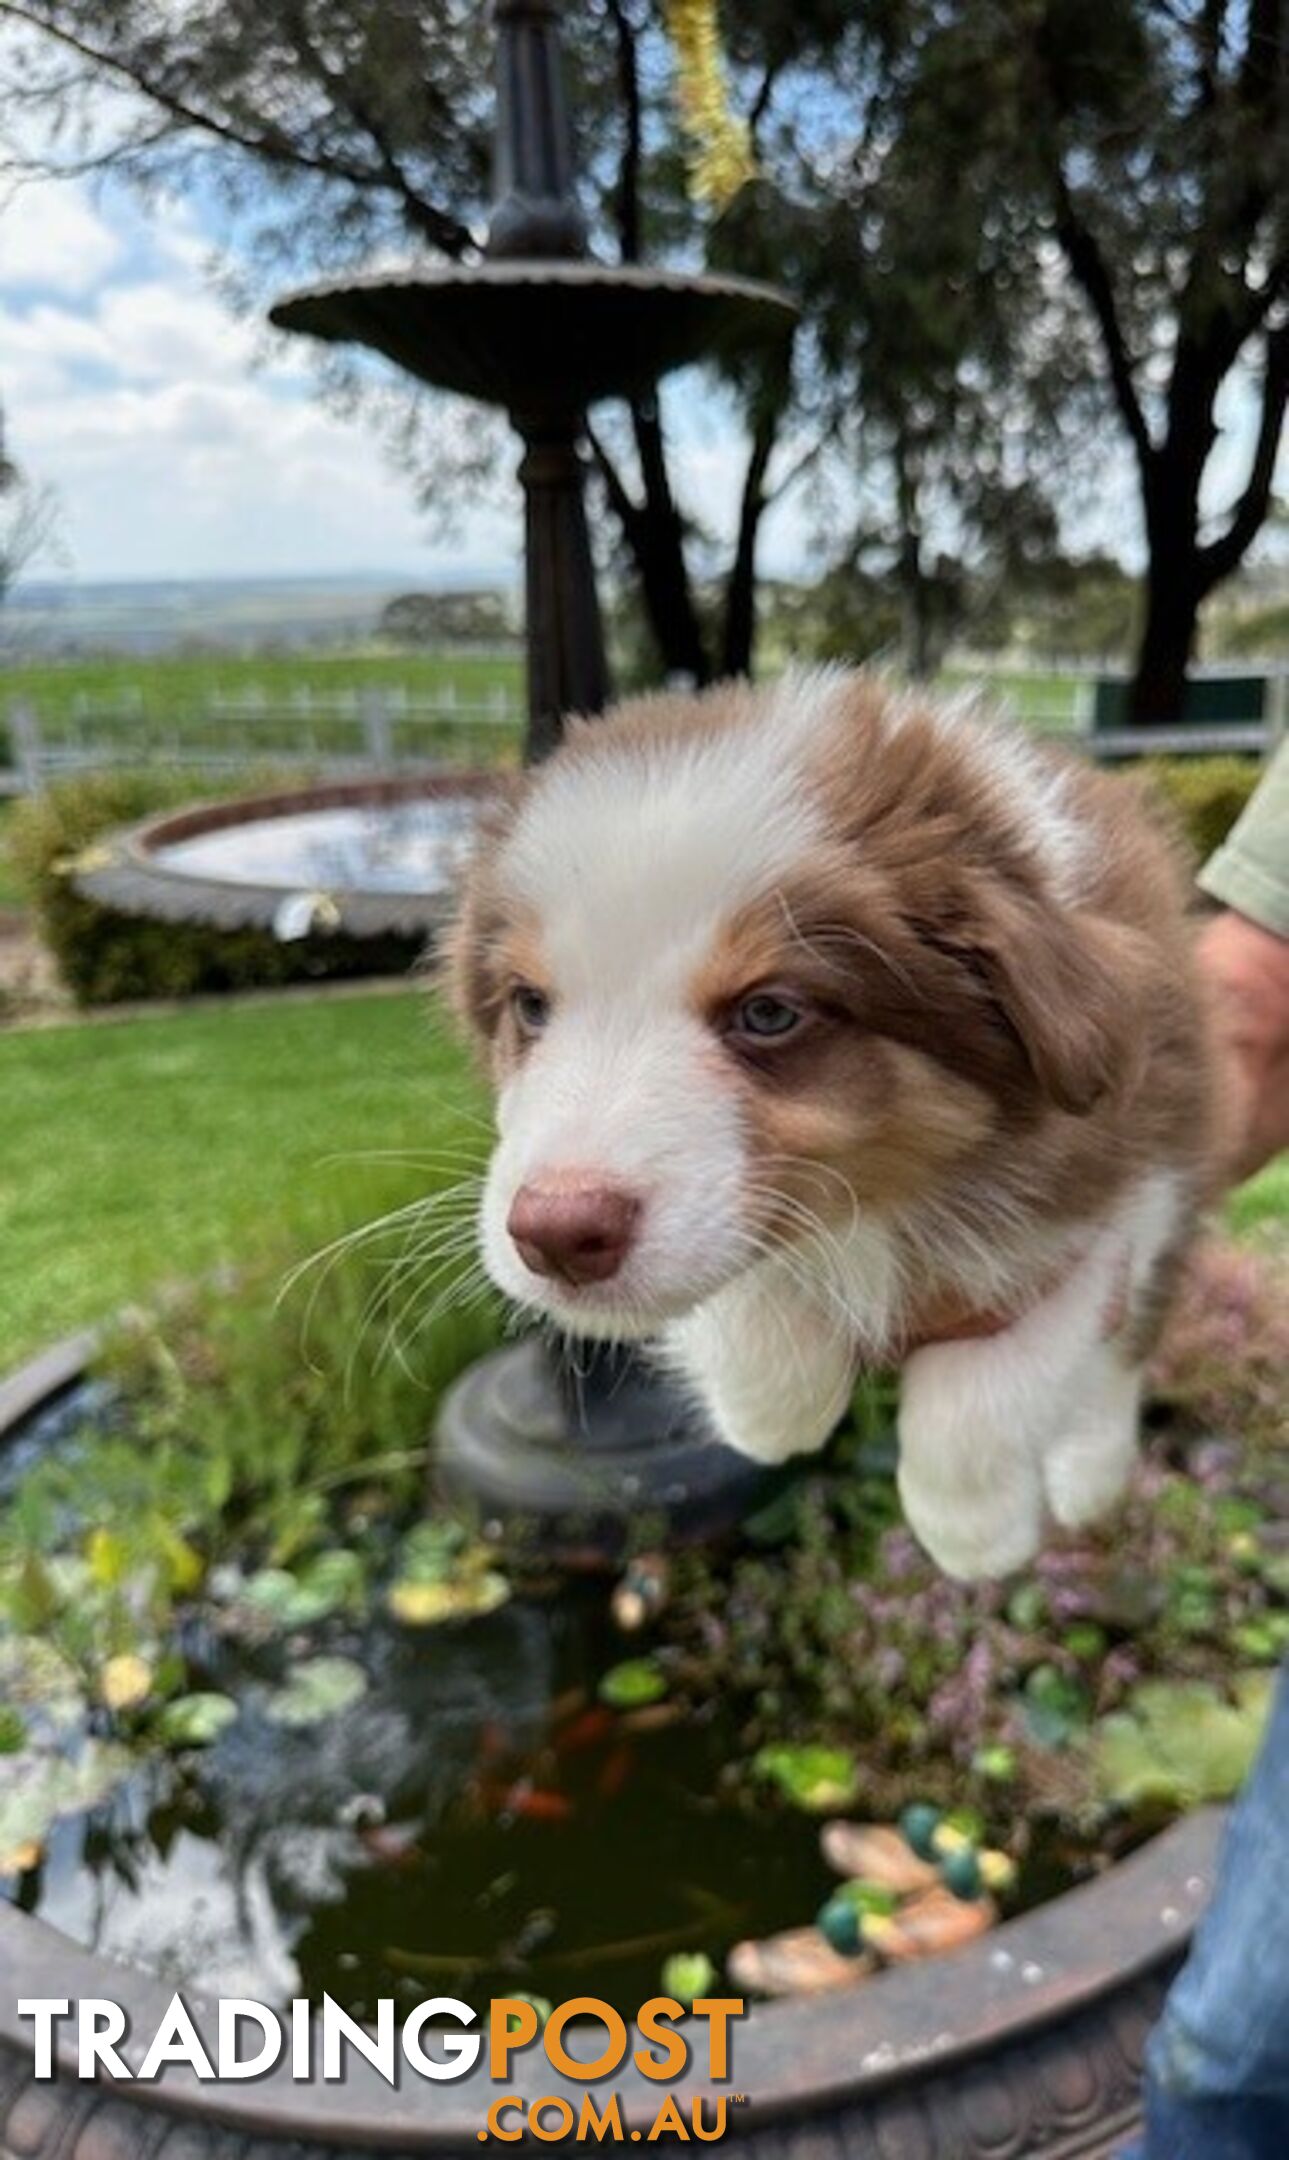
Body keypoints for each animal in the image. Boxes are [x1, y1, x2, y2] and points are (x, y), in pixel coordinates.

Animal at [444, 665, 1217, 1581]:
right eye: (530, 1004)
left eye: (769, 1013)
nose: (556, 1235)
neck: (889, 1199)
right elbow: (751, 1289)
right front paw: (774, 1412)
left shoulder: (1128, 1181)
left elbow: (1000, 1373)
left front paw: (973, 1534)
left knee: (1120, 1357)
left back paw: (1089, 1478)